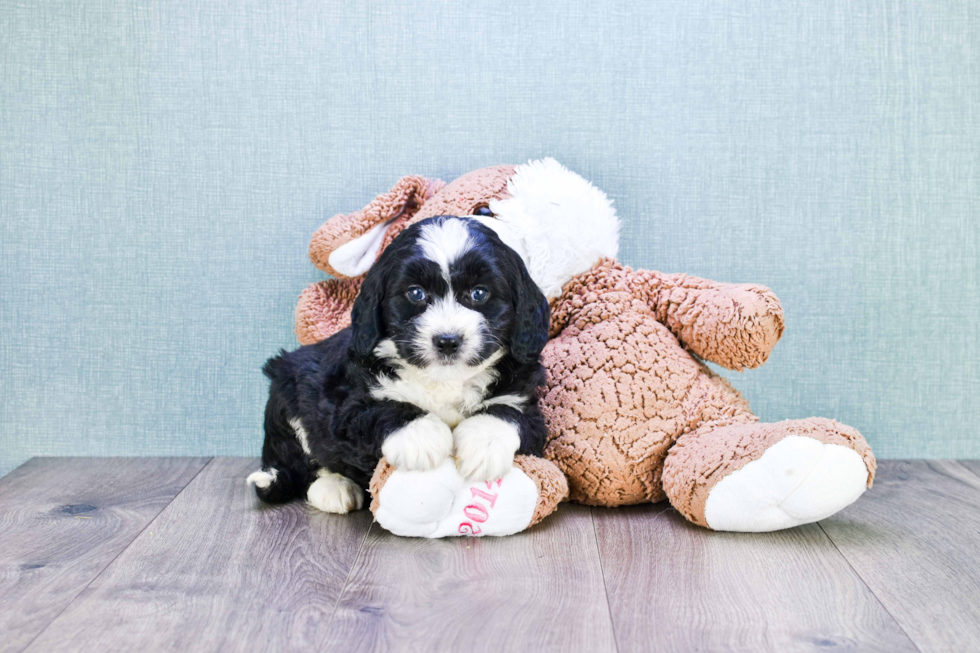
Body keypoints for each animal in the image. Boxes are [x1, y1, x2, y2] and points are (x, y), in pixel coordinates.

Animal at [247, 216, 552, 512]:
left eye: (479, 293)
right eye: (416, 293)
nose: (447, 341)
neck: (444, 381)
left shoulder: (528, 405)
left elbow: (507, 411)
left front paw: (483, 446)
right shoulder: (345, 404)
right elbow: (380, 410)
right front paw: (421, 436)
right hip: (285, 395)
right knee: (300, 464)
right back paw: (333, 487)